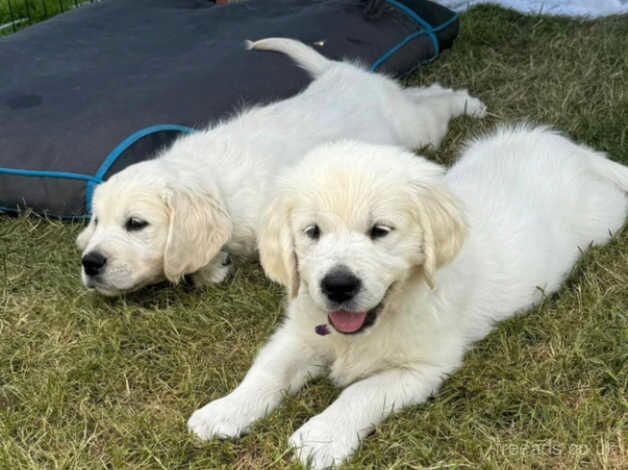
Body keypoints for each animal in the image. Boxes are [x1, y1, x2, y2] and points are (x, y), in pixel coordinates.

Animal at [75, 36, 486, 296]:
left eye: (136, 224)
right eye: (97, 220)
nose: (89, 263)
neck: (213, 183)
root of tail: (339, 71)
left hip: (416, 130)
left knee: (435, 107)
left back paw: (471, 105)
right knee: (424, 90)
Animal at [188, 126, 628, 468]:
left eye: (380, 231)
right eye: (312, 231)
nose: (338, 286)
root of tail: (573, 149)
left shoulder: (423, 367)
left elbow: (360, 392)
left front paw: (321, 436)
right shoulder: (299, 333)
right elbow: (267, 372)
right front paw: (224, 410)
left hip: (605, 219)